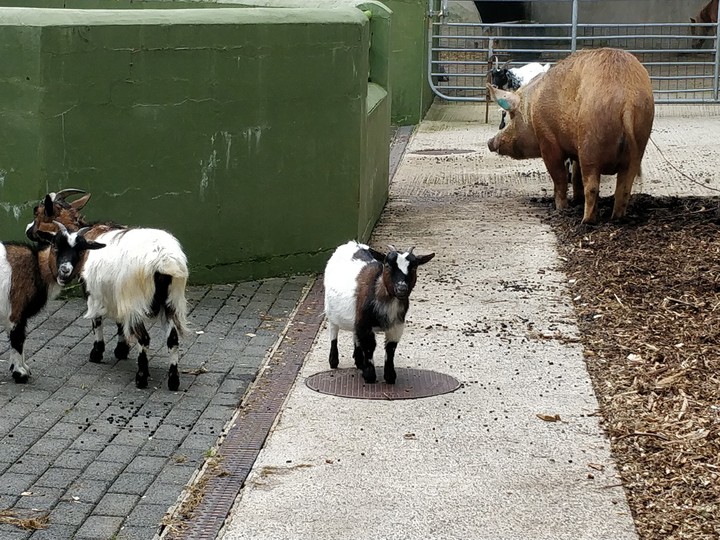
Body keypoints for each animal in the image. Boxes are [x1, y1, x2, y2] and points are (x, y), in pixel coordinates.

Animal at [1, 223, 105, 383]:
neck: (37, 267)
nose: (64, 270)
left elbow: (19, 340)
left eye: (81, 250)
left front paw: (23, 368)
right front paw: (20, 373)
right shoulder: (16, 311)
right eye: (55, 246)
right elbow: (17, 340)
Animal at [26, 190, 189, 391]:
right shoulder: (115, 294)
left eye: (37, 212)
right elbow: (119, 322)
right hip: (172, 301)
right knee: (172, 338)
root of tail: (163, 260)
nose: (28, 230)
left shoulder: (94, 293)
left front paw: (97, 353)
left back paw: (141, 378)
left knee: (143, 338)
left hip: (136, 302)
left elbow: (97, 321)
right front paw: (121, 350)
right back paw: (173, 380)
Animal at [324, 241, 434, 384]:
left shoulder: (396, 326)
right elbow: (369, 346)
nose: (401, 288)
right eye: (387, 266)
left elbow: (390, 348)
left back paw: (359, 361)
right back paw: (333, 361)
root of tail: (349, 244)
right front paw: (369, 376)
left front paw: (390, 376)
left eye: (414, 268)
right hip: (331, 310)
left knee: (355, 335)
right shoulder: (365, 324)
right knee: (333, 331)